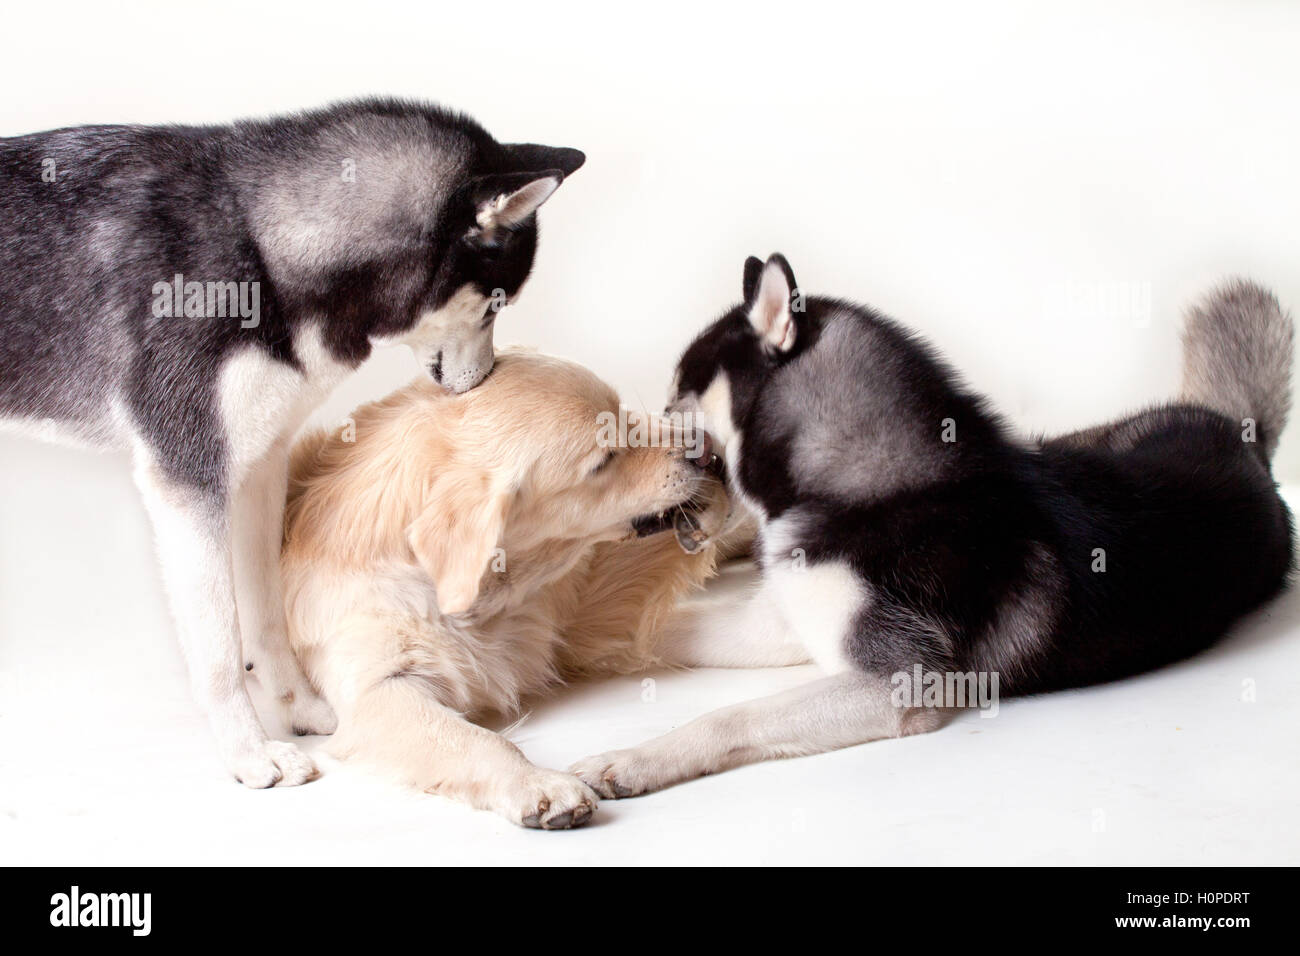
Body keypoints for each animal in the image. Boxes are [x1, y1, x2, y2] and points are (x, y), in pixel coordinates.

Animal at [0, 97, 585, 790]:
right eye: (496, 303)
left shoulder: (259, 465)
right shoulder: (188, 479)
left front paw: (301, 708)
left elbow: (266, 618)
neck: (260, 245)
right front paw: (249, 755)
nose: (489, 379)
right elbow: (220, 646)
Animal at [282, 348, 733, 827]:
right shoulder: (376, 686)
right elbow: (472, 738)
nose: (706, 448)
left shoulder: (588, 588)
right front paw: (537, 784)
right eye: (603, 460)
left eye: (623, 412)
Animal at [574, 254, 1294, 801]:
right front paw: (575, 644)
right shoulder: (784, 621)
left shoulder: (898, 682)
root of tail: (1243, 439)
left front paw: (631, 760)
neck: (874, 483)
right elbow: (664, 626)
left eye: (676, 398)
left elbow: (730, 717)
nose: (639, 437)